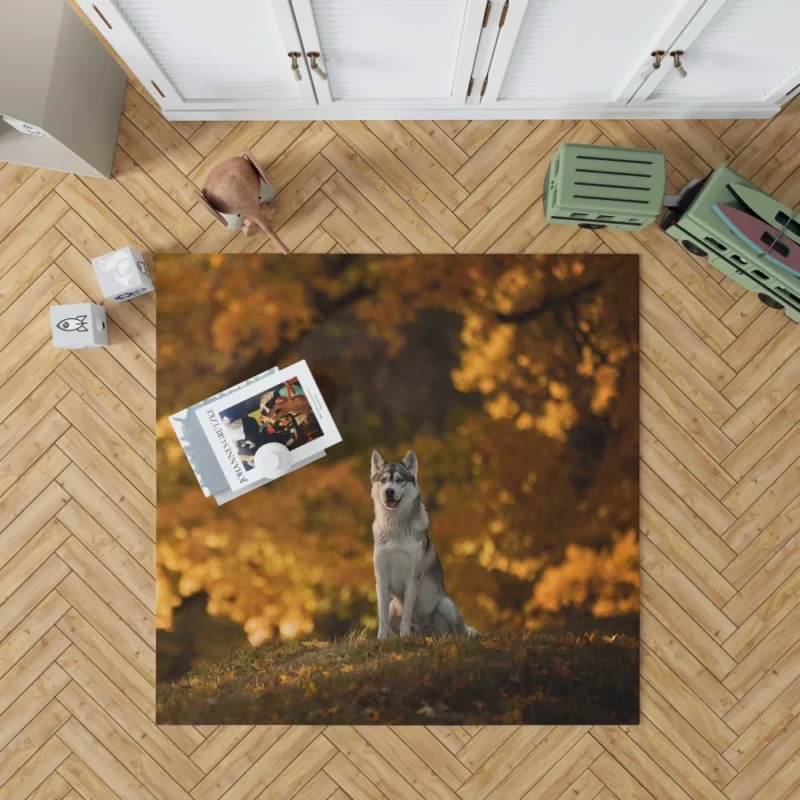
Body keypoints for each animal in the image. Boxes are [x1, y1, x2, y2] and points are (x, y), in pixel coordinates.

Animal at [372, 454, 478, 640]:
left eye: (399, 480)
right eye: (383, 480)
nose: (389, 491)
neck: (394, 528)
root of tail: (425, 632)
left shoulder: (412, 579)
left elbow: (407, 614)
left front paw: (404, 635)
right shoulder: (382, 579)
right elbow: (382, 616)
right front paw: (382, 639)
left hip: (445, 605)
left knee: (457, 632)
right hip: (393, 608)